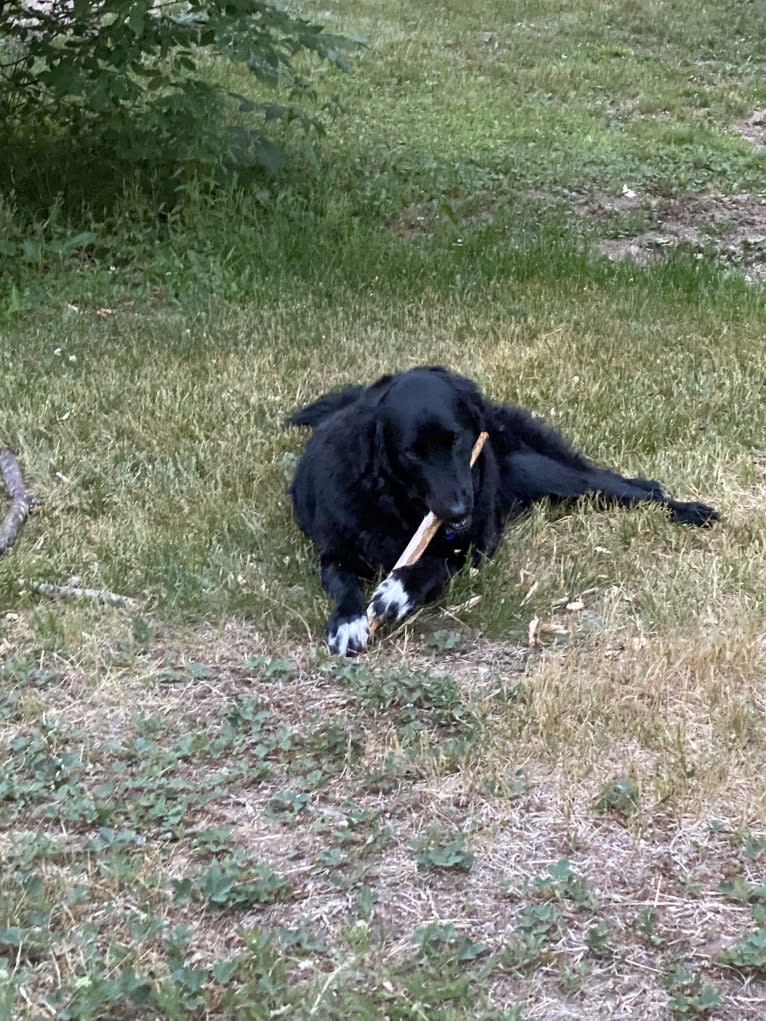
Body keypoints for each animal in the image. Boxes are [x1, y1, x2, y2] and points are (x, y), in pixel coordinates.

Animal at [288, 367, 719, 653]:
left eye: (456, 439)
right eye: (412, 452)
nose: (459, 507)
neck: (399, 505)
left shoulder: (477, 542)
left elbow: (434, 565)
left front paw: (398, 590)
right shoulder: (336, 552)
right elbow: (344, 585)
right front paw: (348, 622)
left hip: (544, 473)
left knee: (616, 486)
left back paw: (690, 510)